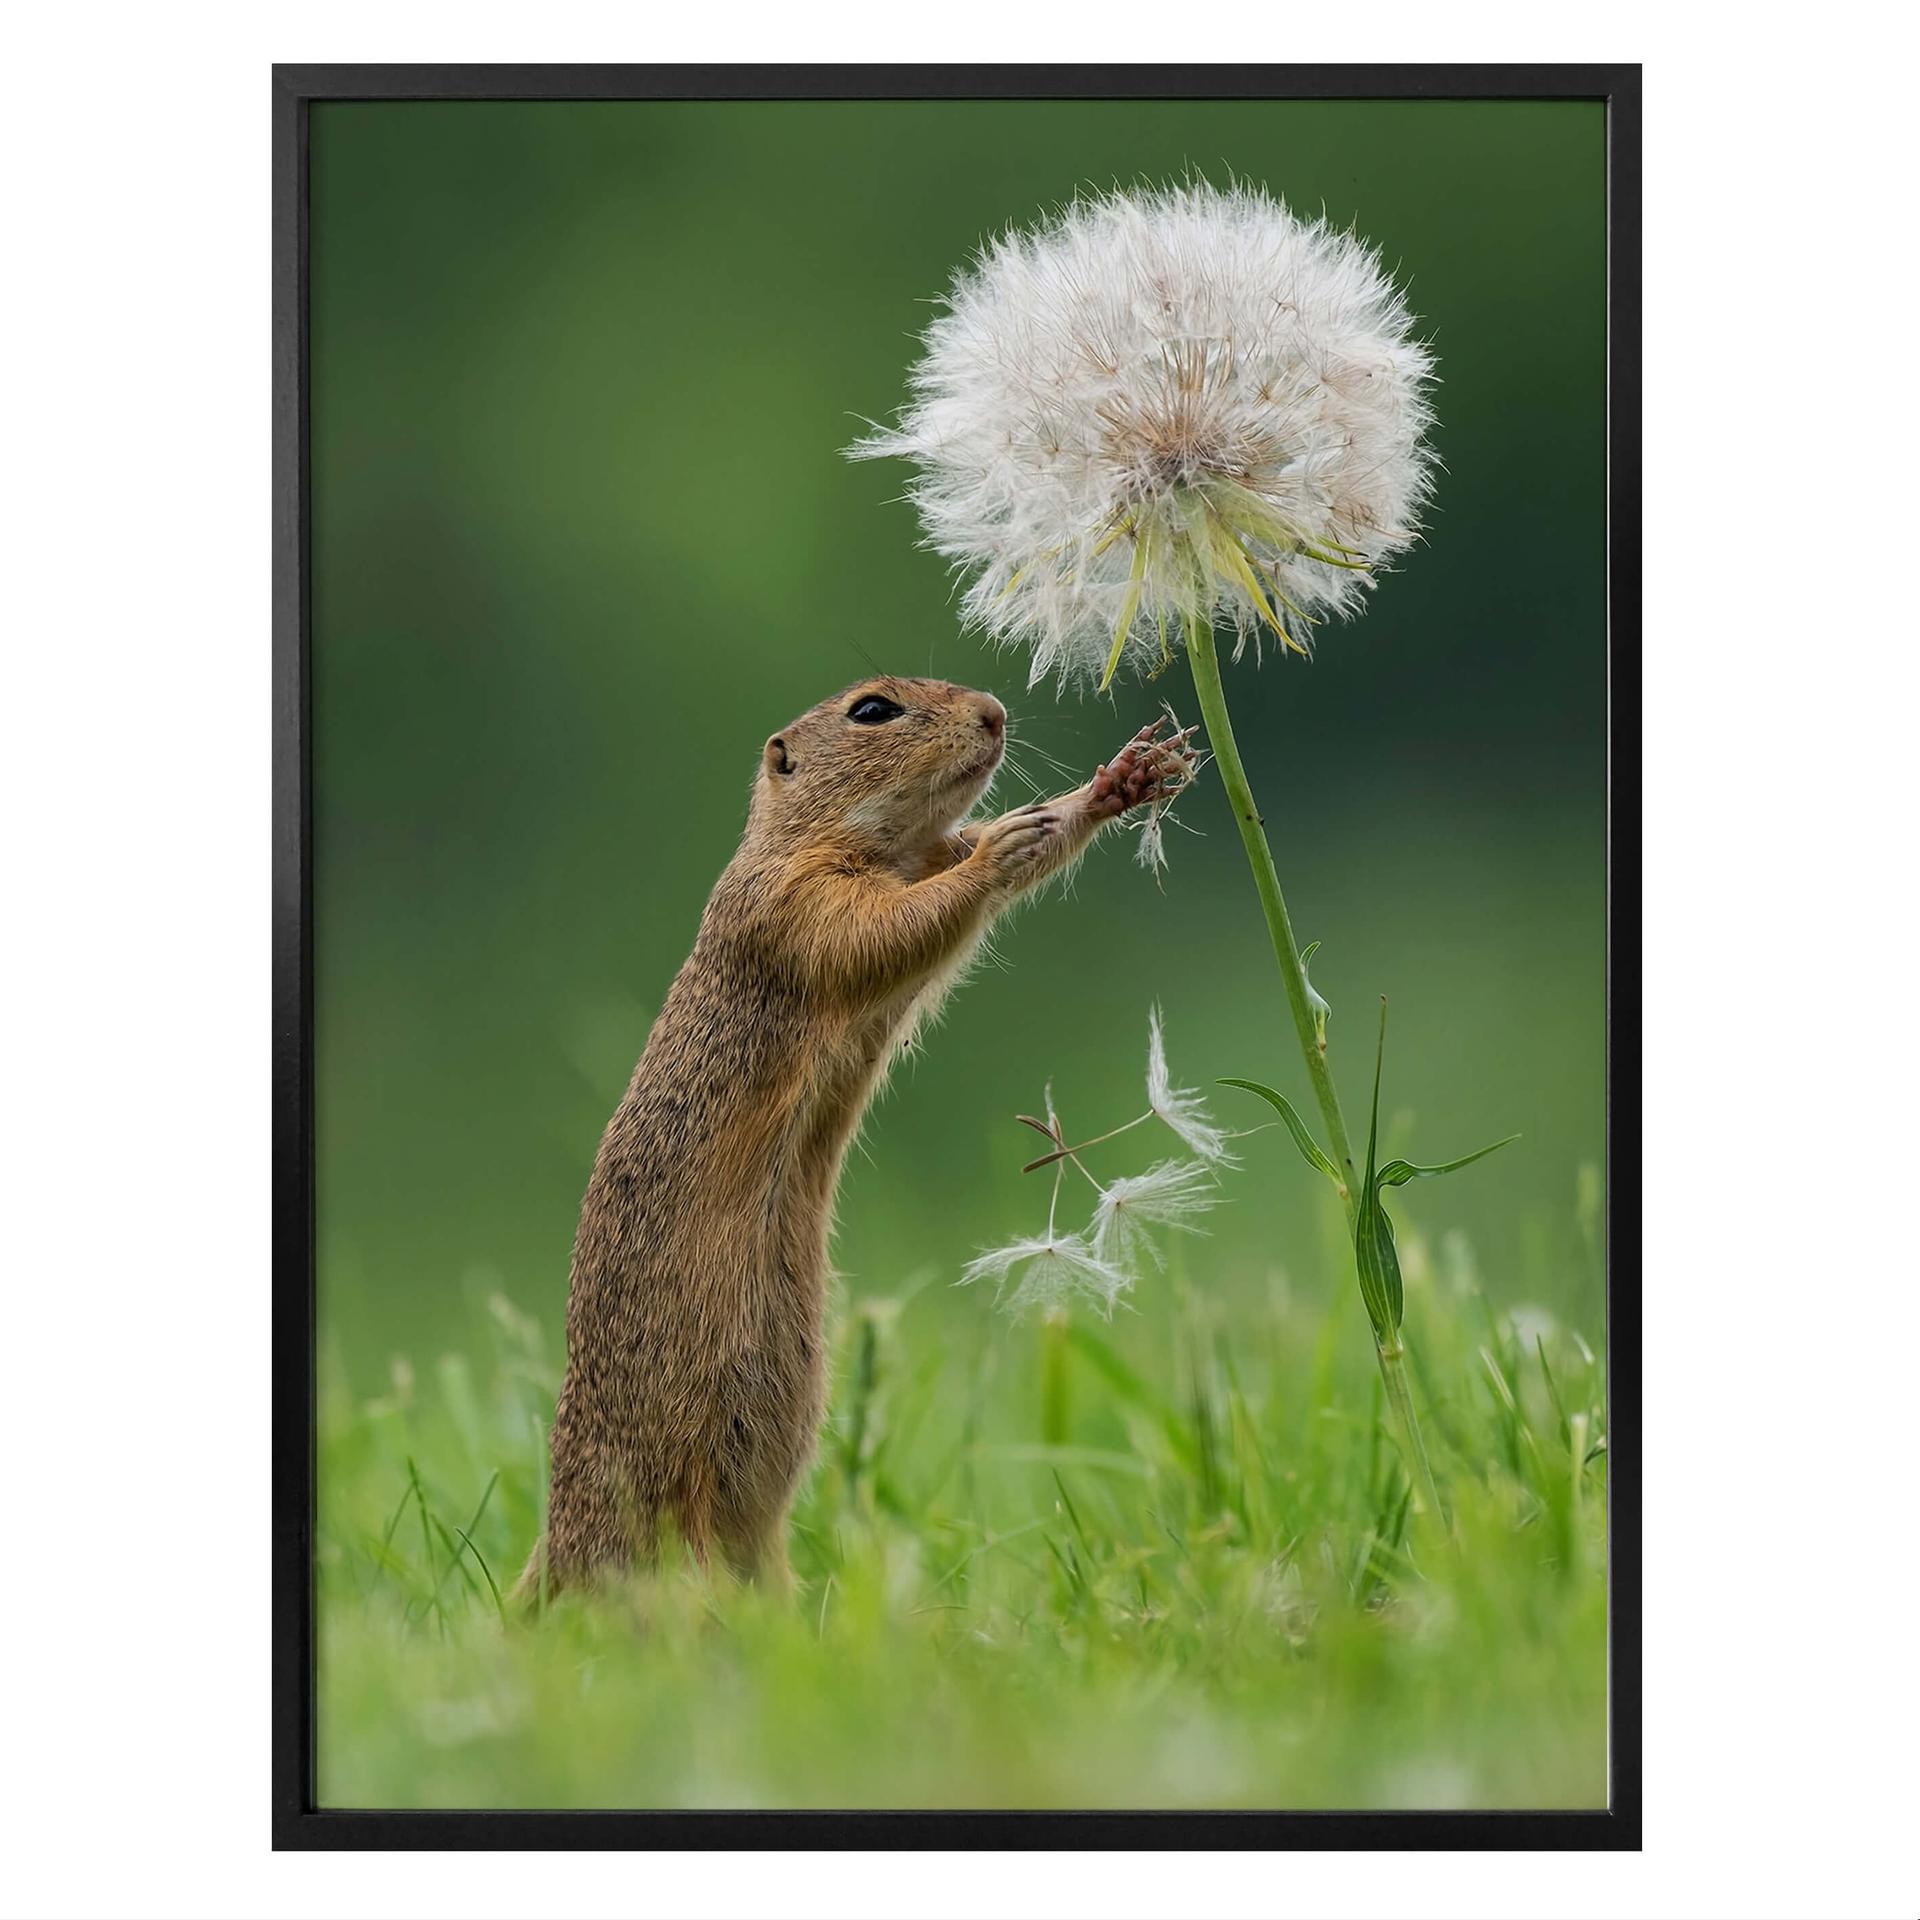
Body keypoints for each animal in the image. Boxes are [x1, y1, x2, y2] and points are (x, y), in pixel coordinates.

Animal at [521, 677, 1193, 1598]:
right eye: (872, 710)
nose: (994, 712)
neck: (862, 844)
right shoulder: (797, 904)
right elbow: (890, 927)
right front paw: (1007, 847)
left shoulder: (916, 857)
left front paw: (1115, 784)